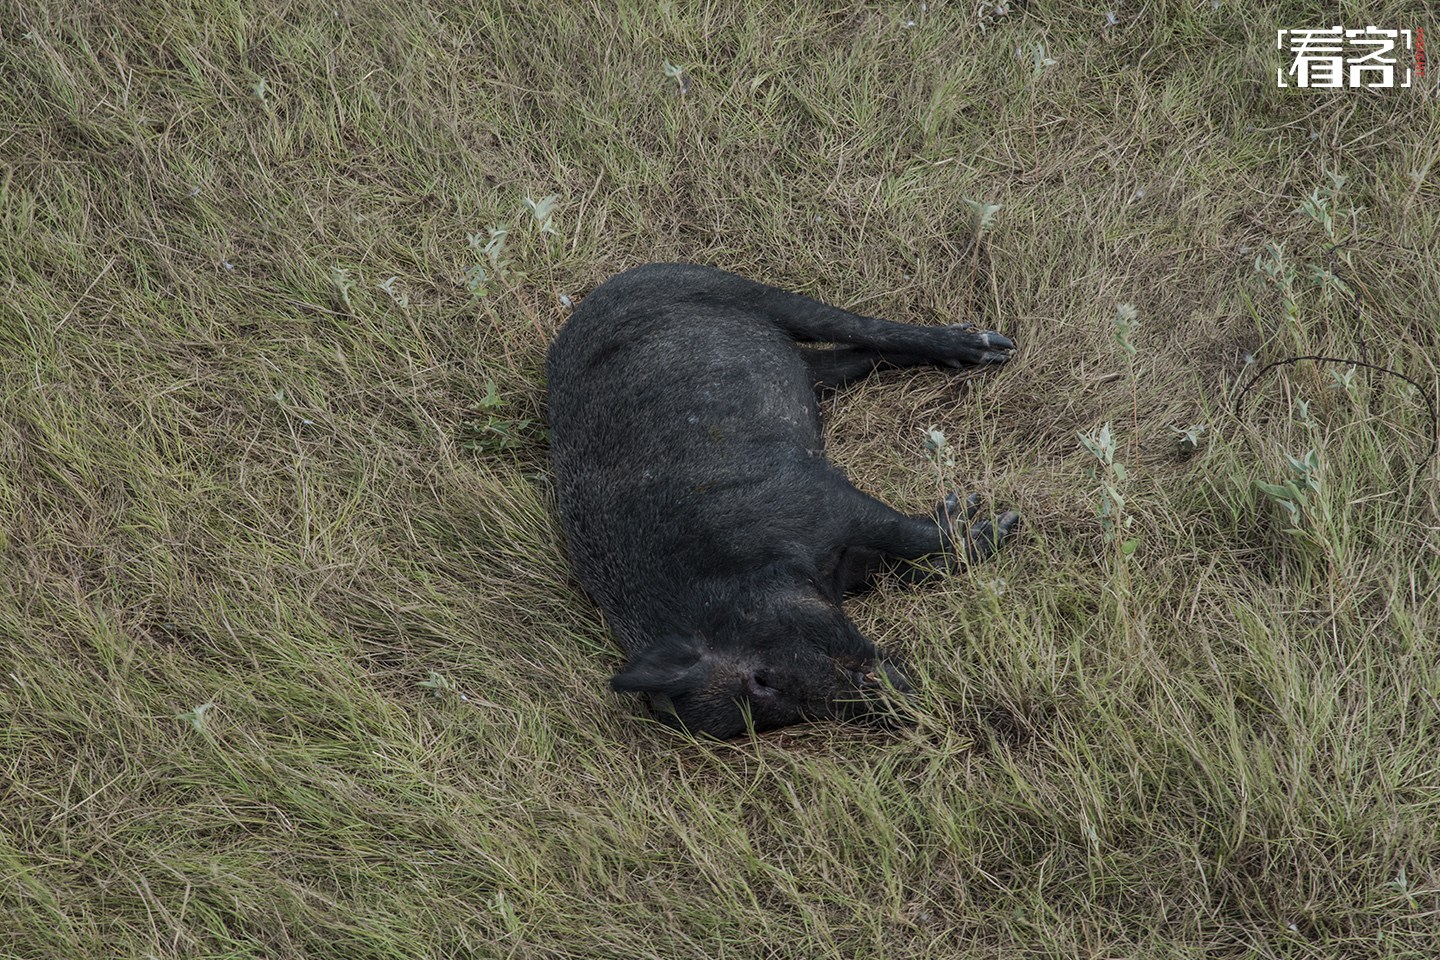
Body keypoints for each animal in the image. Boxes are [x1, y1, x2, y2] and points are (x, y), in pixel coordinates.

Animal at [544, 264, 1019, 742]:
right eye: (784, 713)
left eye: (761, 679)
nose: (901, 702)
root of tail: (606, 289)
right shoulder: (847, 567)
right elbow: (902, 568)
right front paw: (972, 523)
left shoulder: (818, 496)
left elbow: (907, 533)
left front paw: (993, 519)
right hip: (806, 365)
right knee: (852, 356)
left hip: (736, 291)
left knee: (854, 326)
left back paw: (991, 347)